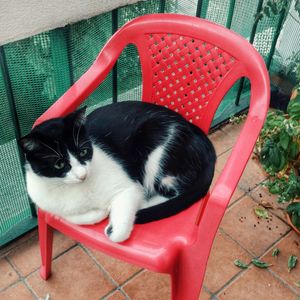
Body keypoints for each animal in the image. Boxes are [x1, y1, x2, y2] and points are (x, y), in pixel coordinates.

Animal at [19, 102, 216, 243]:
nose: (82, 175)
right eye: (59, 164)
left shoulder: (128, 187)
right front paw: (99, 212)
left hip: (157, 149)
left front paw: (113, 225)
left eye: (83, 152)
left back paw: (144, 205)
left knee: (174, 190)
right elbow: (72, 217)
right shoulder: (47, 204)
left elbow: (119, 231)